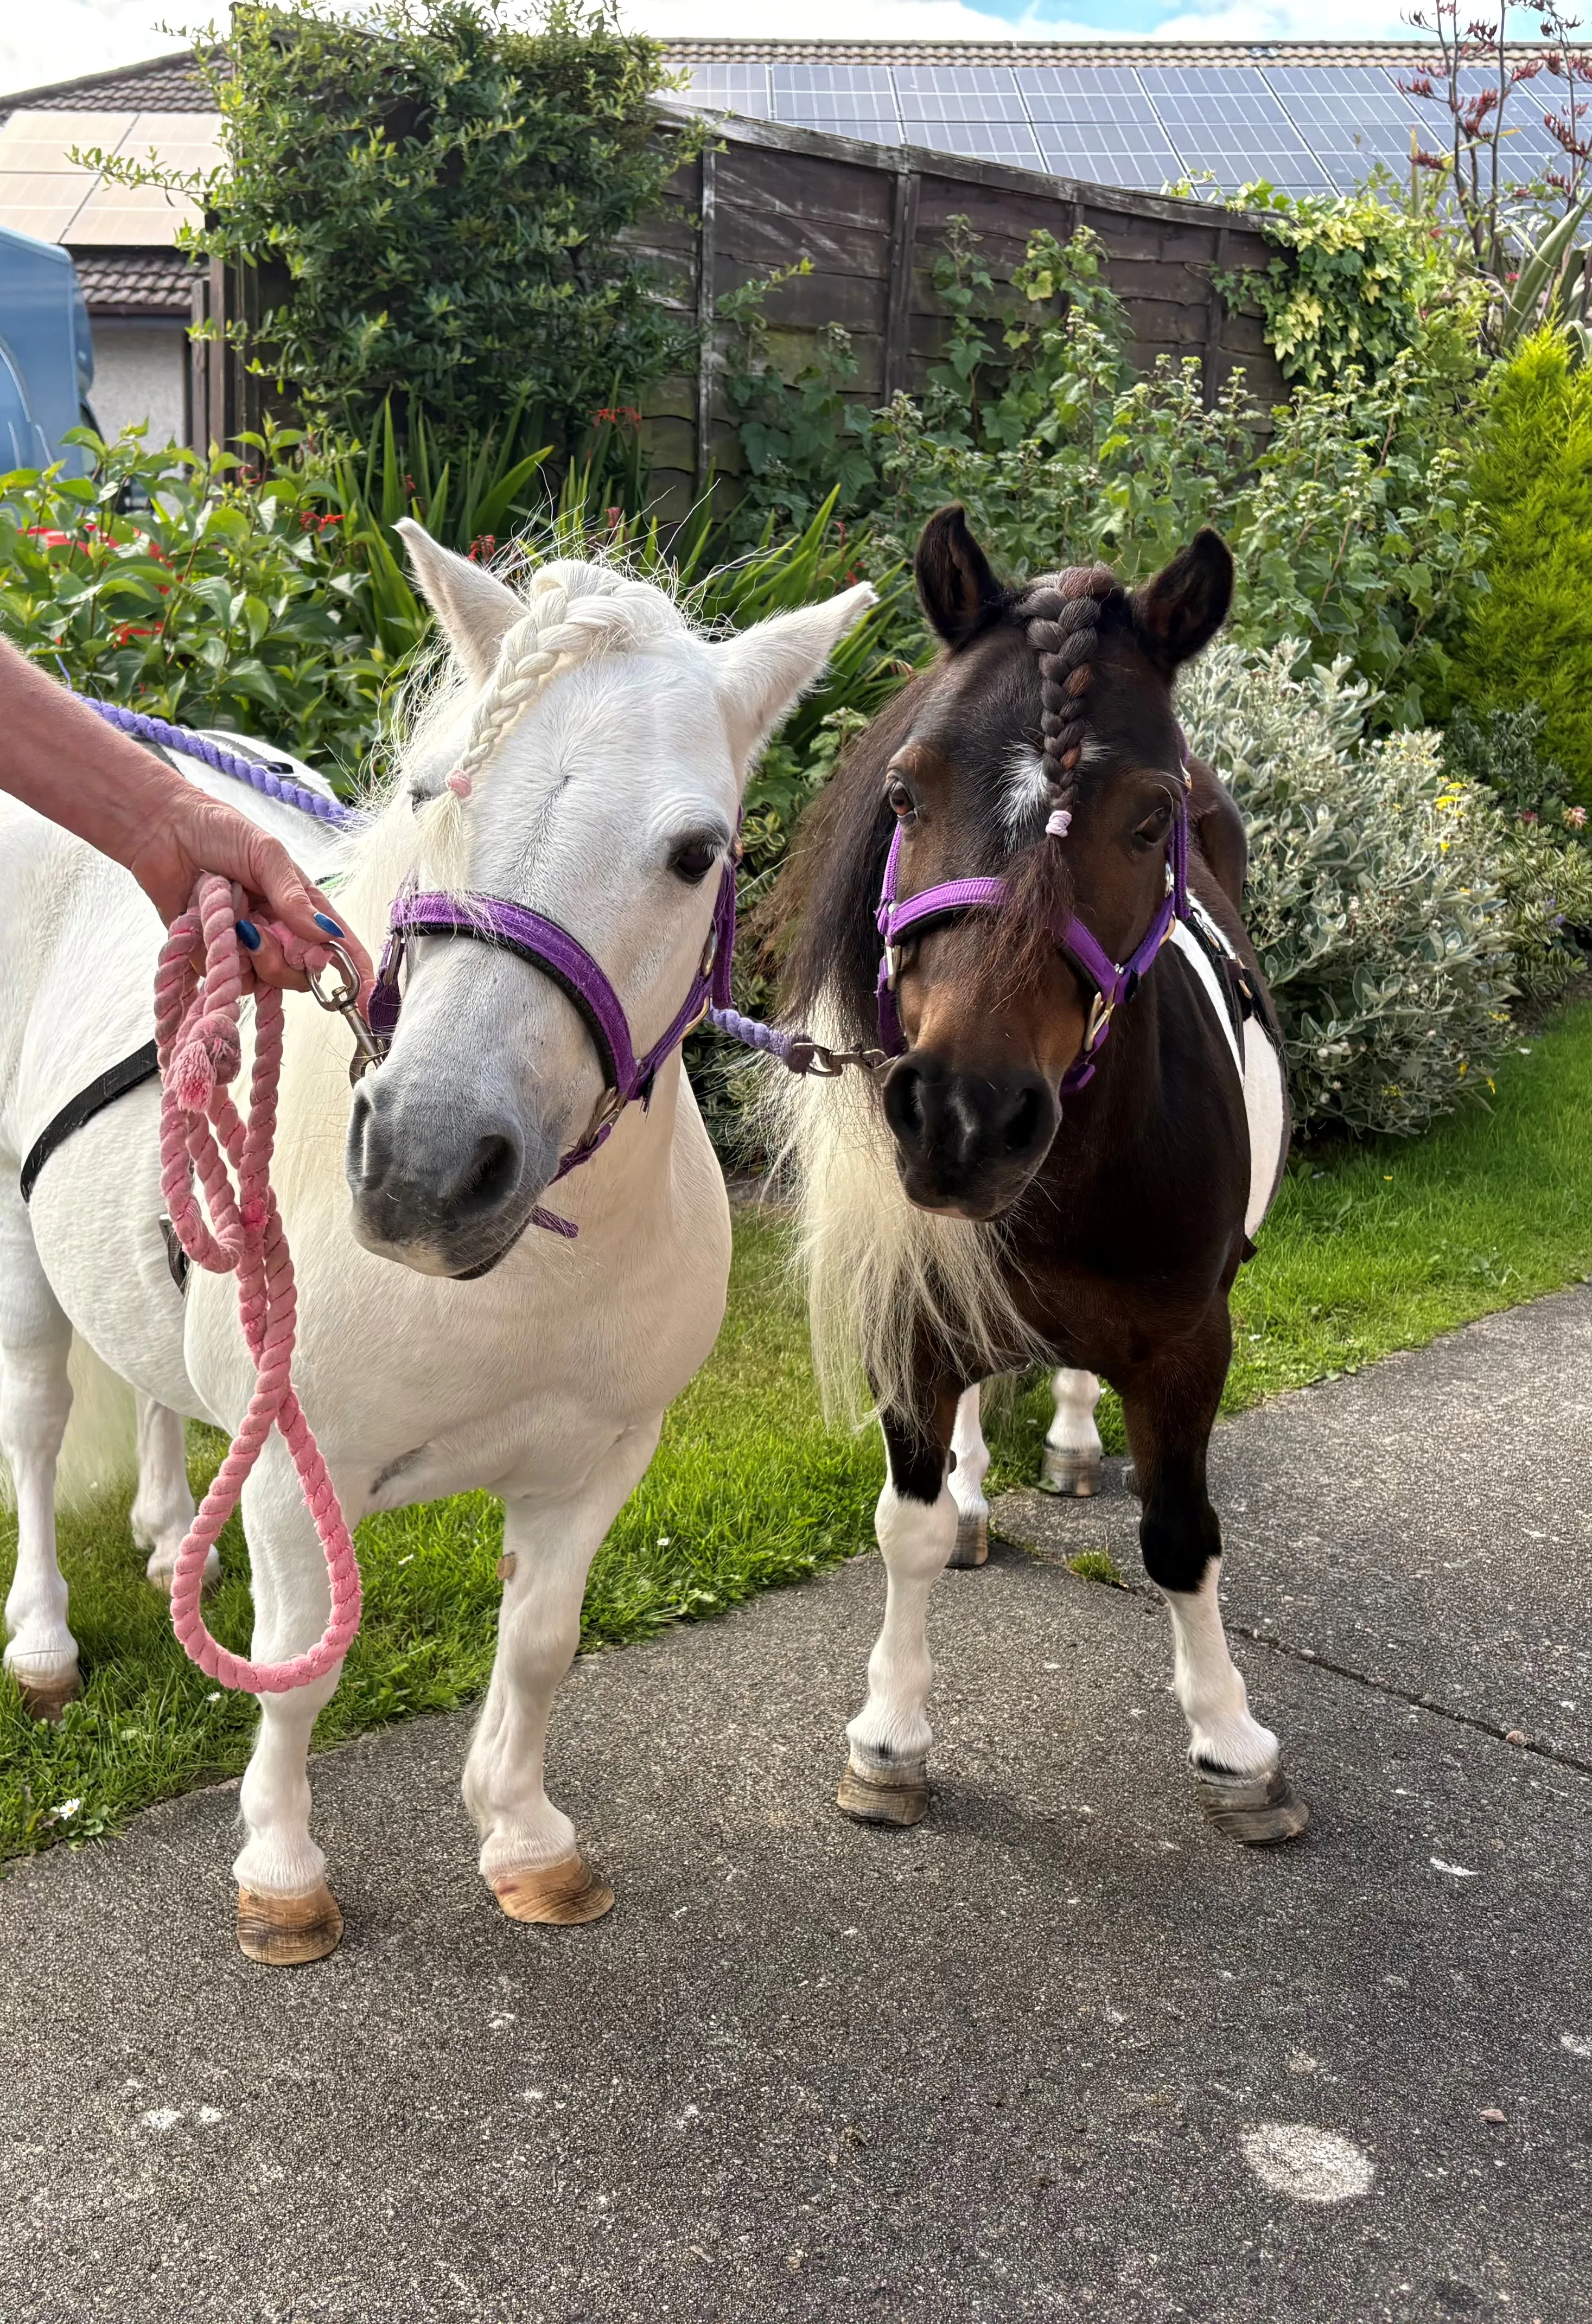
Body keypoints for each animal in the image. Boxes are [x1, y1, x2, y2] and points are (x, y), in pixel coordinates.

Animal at [0, 524, 871, 1960]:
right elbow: (302, 1672)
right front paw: (282, 1870)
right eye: (426, 790)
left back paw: (172, 1534)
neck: (529, 1278)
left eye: (697, 853)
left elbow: (539, 1645)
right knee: (34, 1421)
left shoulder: (600, 1461)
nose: (424, 1166)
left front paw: (523, 1839)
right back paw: (42, 1642)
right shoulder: (298, 1475)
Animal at [766, 504, 1304, 1846]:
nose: (965, 1116)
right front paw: (890, 1736)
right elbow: (902, 1526)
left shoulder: (1189, 1343)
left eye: (1148, 818)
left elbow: (1182, 1537)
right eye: (907, 790)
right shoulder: (914, 1317)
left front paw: (1231, 1743)